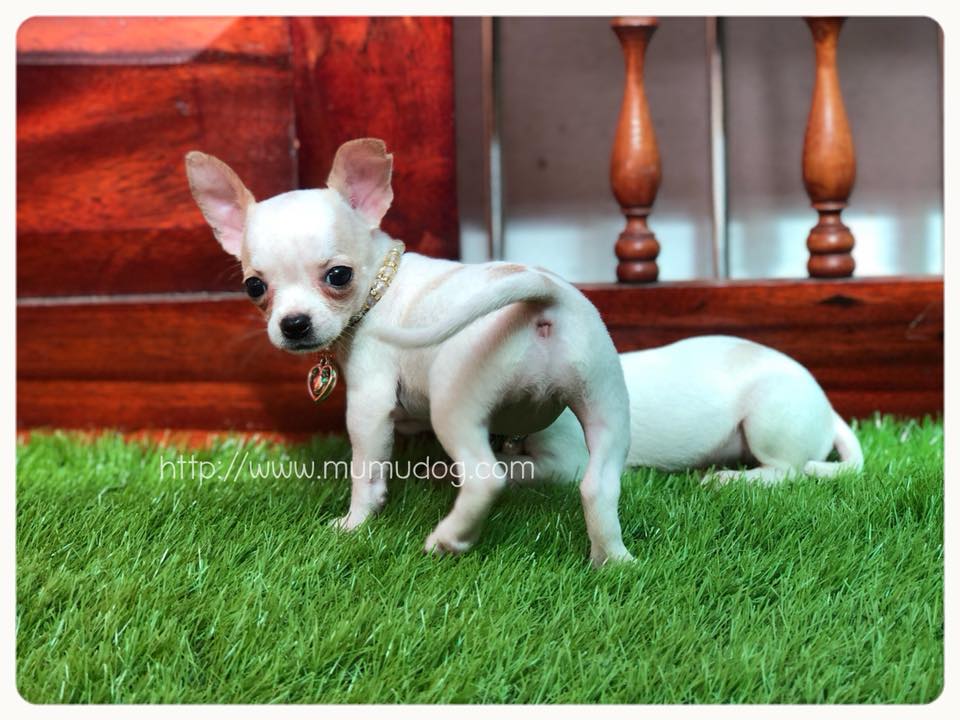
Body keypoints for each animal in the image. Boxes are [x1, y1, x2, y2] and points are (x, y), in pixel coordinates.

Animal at [185, 138, 633, 566]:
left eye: (338, 276)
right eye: (254, 287)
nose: (294, 324)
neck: (380, 284)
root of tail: (543, 296)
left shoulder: (369, 403)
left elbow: (366, 472)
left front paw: (354, 523)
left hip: (457, 404)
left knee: (486, 477)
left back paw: (449, 539)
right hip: (605, 402)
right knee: (598, 484)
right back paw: (612, 559)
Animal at [506, 336, 864, 486]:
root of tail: (829, 411)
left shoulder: (568, 462)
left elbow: (523, 468)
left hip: (771, 415)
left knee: (786, 470)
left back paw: (728, 479)